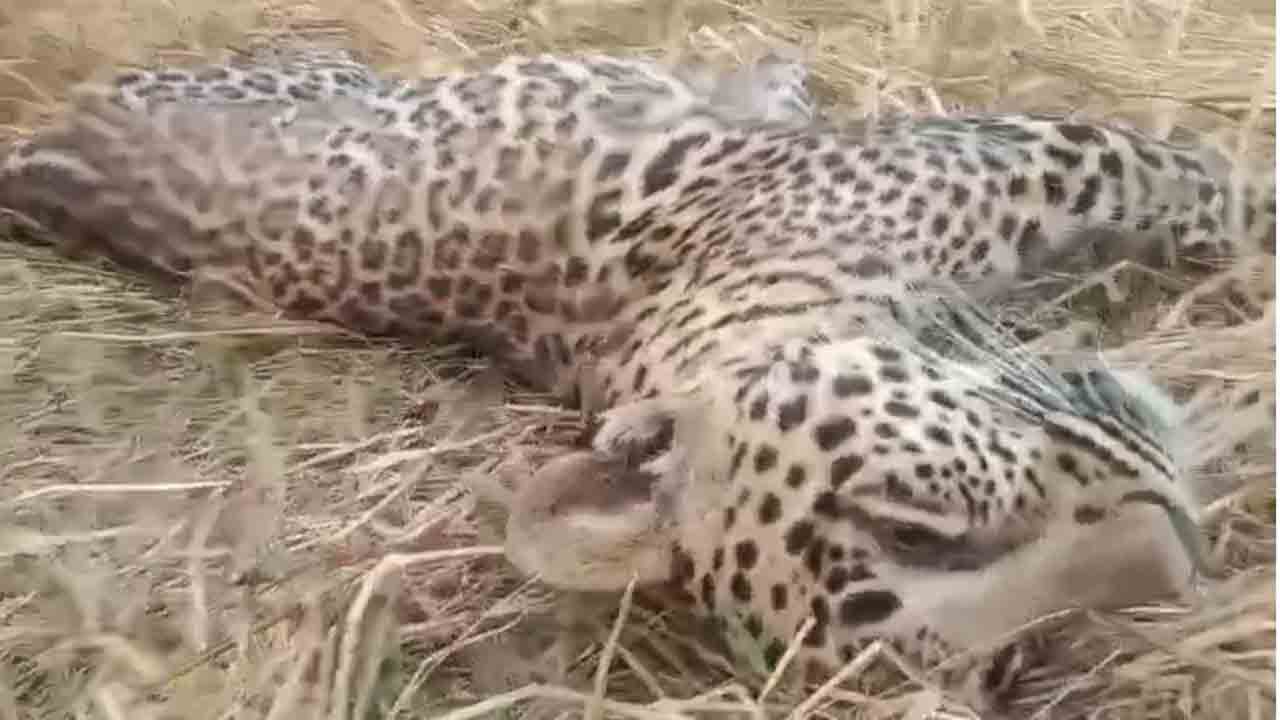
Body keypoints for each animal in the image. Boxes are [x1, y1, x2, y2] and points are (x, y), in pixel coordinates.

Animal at [1, 46, 1274, 712]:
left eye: (918, 528)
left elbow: (1214, 187)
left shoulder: (1047, 154)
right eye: (1015, 657)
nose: (1179, 551)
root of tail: (38, 149)